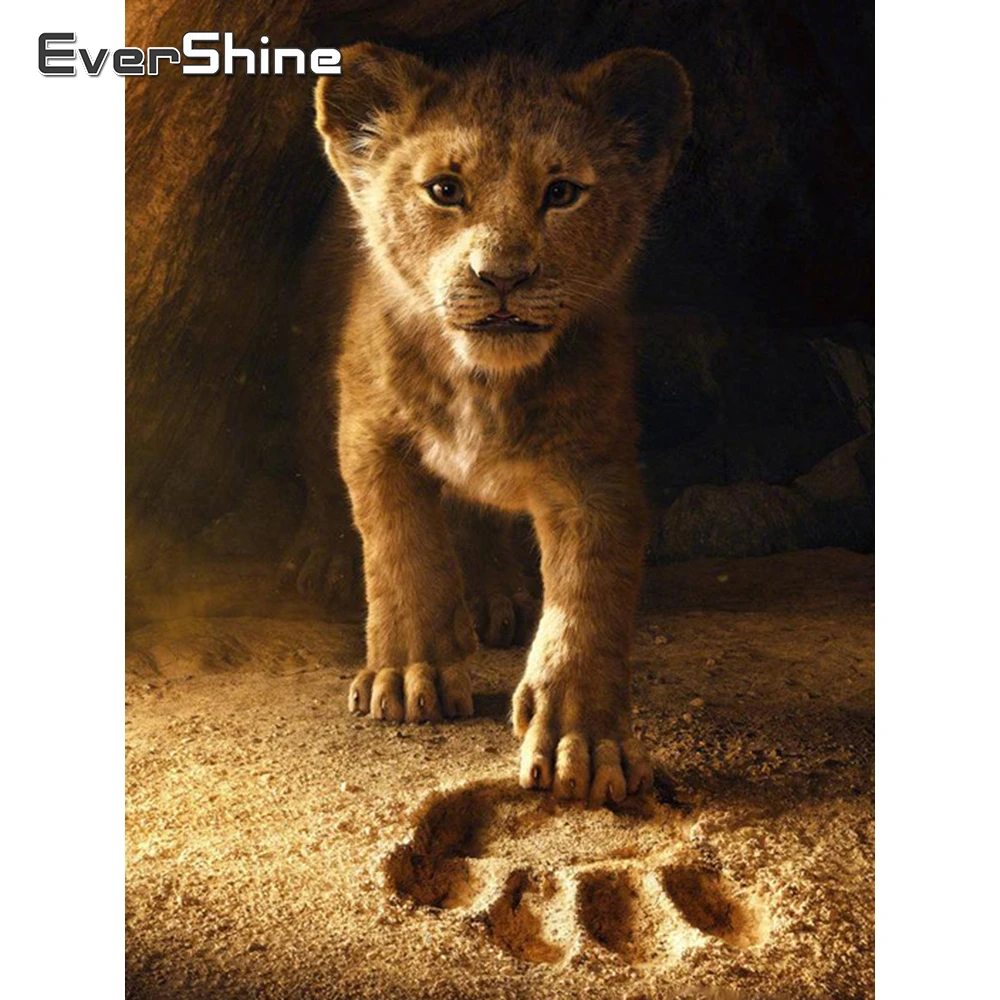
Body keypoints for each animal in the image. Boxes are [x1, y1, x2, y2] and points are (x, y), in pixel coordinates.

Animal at [287, 43, 692, 806]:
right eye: (445, 190)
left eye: (561, 193)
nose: (502, 276)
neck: (483, 381)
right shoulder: (372, 432)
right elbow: (401, 549)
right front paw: (408, 674)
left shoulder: (595, 469)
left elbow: (588, 598)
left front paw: (583, 740)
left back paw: (494, 594)